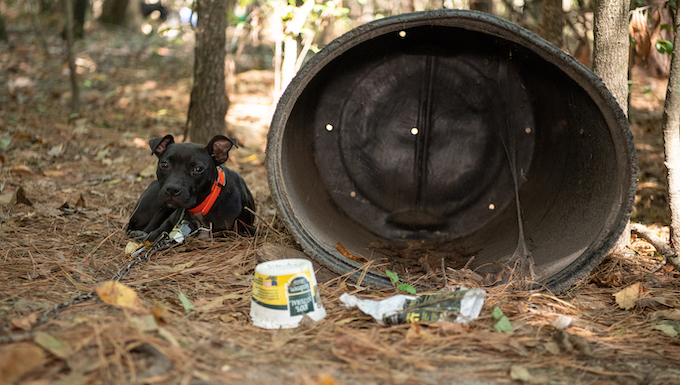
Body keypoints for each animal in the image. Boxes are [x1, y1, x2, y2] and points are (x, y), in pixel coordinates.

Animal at [127, 134, 255, 238]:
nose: (172, 189)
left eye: (198, 169)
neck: (203, 206)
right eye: (164, 164)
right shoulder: (170, 223)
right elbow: (154, 235)